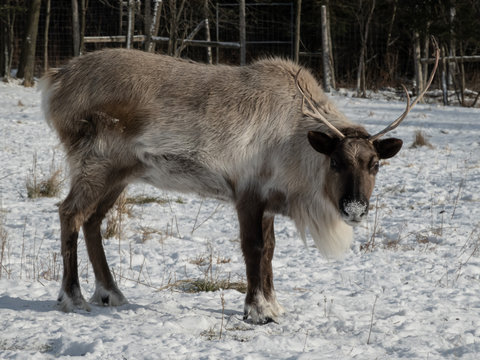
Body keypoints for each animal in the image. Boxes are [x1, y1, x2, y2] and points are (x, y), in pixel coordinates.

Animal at [41, 47, 438, 324]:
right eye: (336, 162)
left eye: (375, 165)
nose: (355, 208)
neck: (298, 149)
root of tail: (55, 80)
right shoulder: (247, 193)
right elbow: (254, 249)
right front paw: (257, 310)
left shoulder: (269, 202)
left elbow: (271, 251)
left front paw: (274, 305)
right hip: (96, 163)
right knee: (69, 213)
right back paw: (72, 296)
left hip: (120, 174)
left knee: (92, 221)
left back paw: (110, 292)